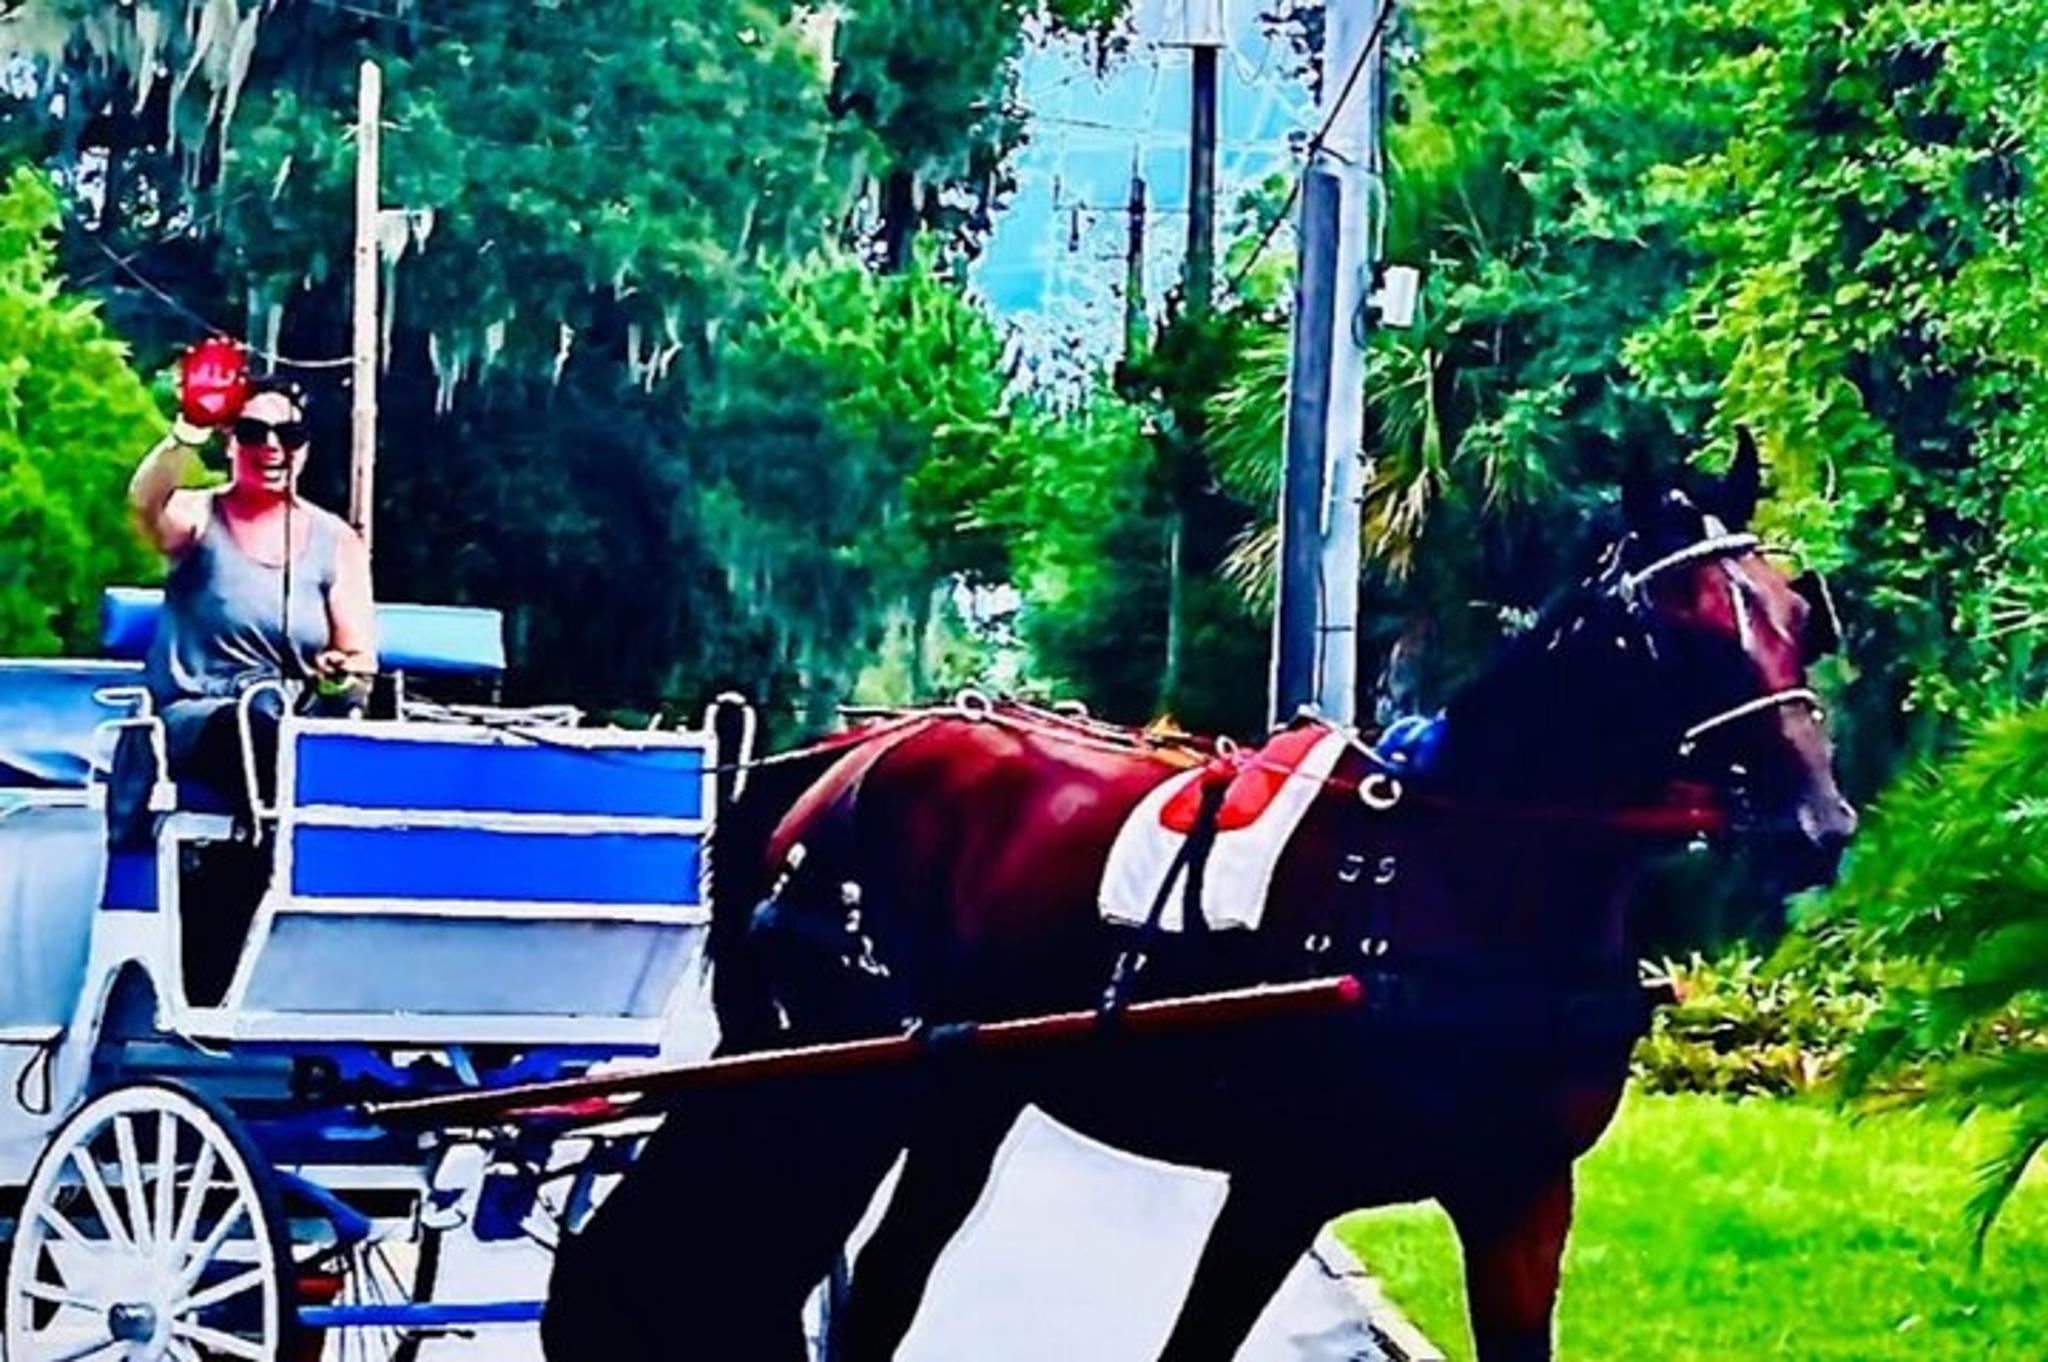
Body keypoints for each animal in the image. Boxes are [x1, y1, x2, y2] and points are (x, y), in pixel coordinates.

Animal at [542, 440, 1856, 1362]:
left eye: (1799, 614)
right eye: (1671, 630)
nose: (1818, 822)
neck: (1469, 880)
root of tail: (846, 760)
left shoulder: (1520, 1198)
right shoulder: (1281, 1187)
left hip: (958, 1095)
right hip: (837, 1088)